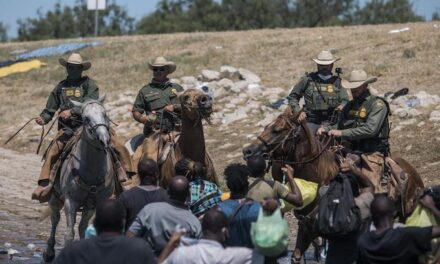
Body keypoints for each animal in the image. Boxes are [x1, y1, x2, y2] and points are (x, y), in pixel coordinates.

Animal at [242, 106, 424, 262]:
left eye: (277, 130)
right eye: (267, 126)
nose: (247, 151)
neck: (318, 173)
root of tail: (412, 172)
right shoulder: (306, 223)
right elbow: (300, 248)